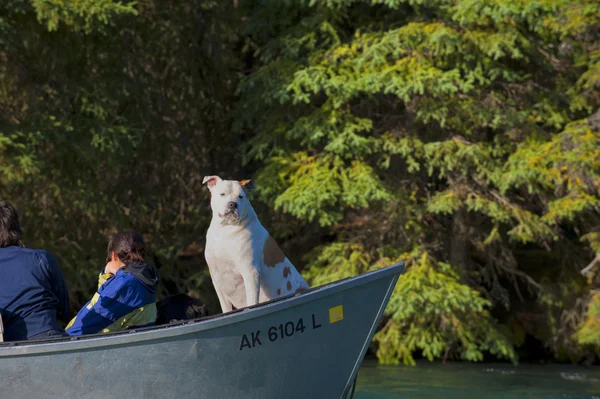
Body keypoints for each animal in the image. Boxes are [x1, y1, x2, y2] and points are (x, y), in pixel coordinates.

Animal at [204, 177, 310, 314]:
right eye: (222, 194)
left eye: (240, 196)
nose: (233, 204)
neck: (226, 229)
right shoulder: (217, 278)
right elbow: (226, 308)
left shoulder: (250, 272)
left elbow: (252, 301)